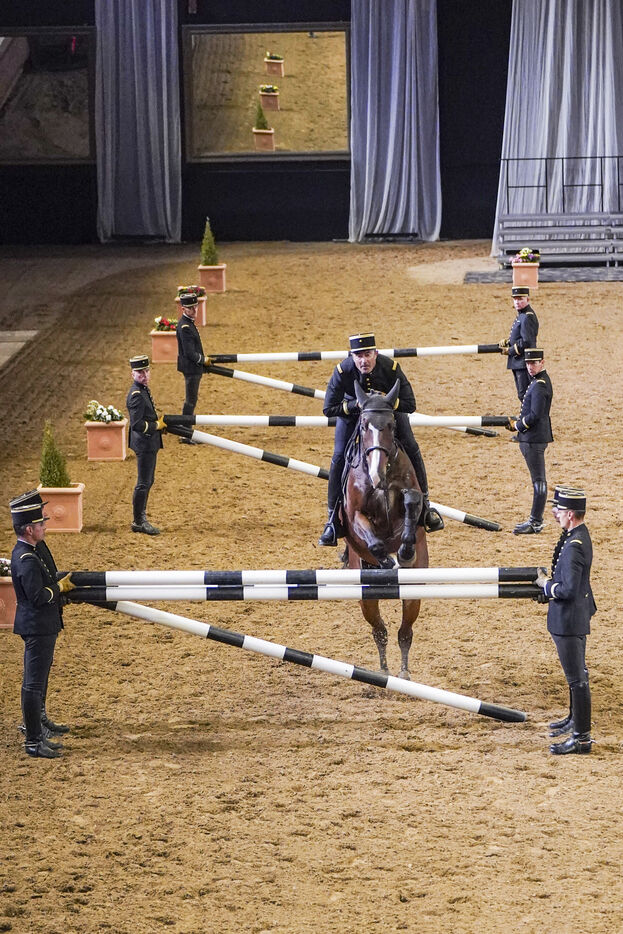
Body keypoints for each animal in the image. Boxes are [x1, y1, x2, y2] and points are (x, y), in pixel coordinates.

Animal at [340, 379, 429, 679]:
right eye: (363, 425)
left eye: (391, 425)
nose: (376, 475)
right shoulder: (355, 516)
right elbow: (374, 540)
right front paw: (387, 562)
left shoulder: (410, 502)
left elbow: (412, 505)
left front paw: (404, 553)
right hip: (366, 598)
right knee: (379, 631)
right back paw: (383, 671)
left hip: (413, 594)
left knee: (405, 632)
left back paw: (402, 673)